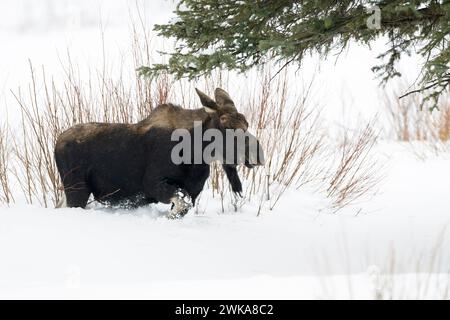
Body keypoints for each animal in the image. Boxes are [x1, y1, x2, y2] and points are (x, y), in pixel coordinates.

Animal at [53, 87, 264, 218]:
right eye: (226, 125)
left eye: (246, 124)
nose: (257, 155)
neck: (196, 154)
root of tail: (56, 143)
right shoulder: (152, 183)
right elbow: (181, 206)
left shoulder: (192, 191)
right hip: (76, 189)